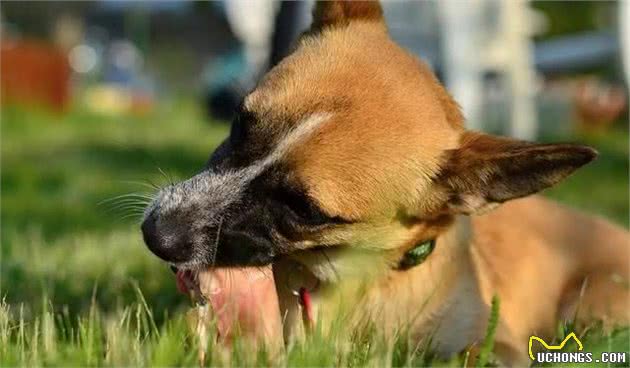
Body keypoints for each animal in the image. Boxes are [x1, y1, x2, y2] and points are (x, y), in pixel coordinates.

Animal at [141, 2, 628, 366]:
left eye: (306, 210)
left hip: (589, 307)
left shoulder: (496, 346)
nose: (155, 234)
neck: (355, 282)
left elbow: (471, 354)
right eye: (241, 122)